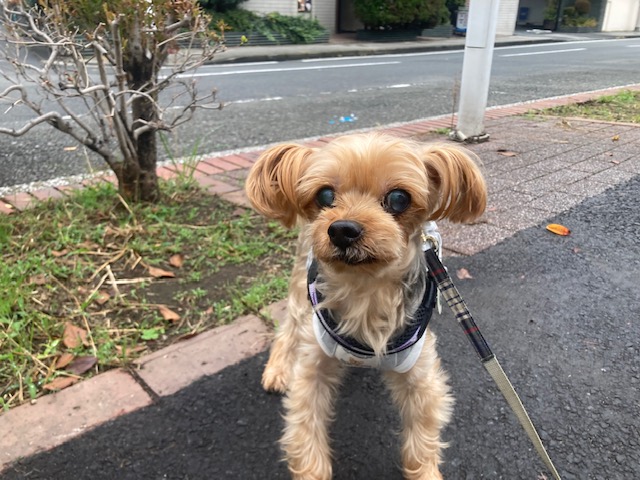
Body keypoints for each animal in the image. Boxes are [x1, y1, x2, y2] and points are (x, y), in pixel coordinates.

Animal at [245, 132, 484, 480]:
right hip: (301, 285)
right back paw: (277, 370)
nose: (342, 229)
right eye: (325, 195)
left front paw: (425, 471)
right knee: (288, 327)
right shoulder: (313, 361)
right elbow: (304, 425)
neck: (365, 289)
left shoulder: (419, 370)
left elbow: (423, 430)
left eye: (398, 198)